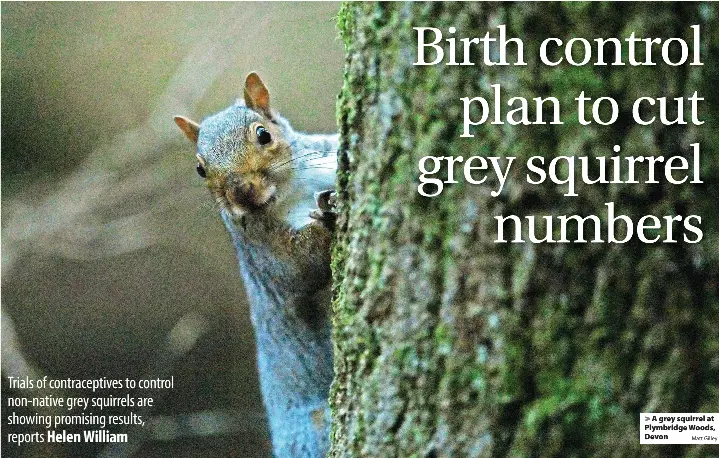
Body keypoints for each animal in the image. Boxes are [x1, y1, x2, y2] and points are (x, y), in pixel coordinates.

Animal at [174, 72, 338, 458]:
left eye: (264, 134)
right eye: (200, 169)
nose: (241, 191)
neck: (293, 191)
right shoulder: (263, 251)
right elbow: (298, 269)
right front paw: (326, 221)